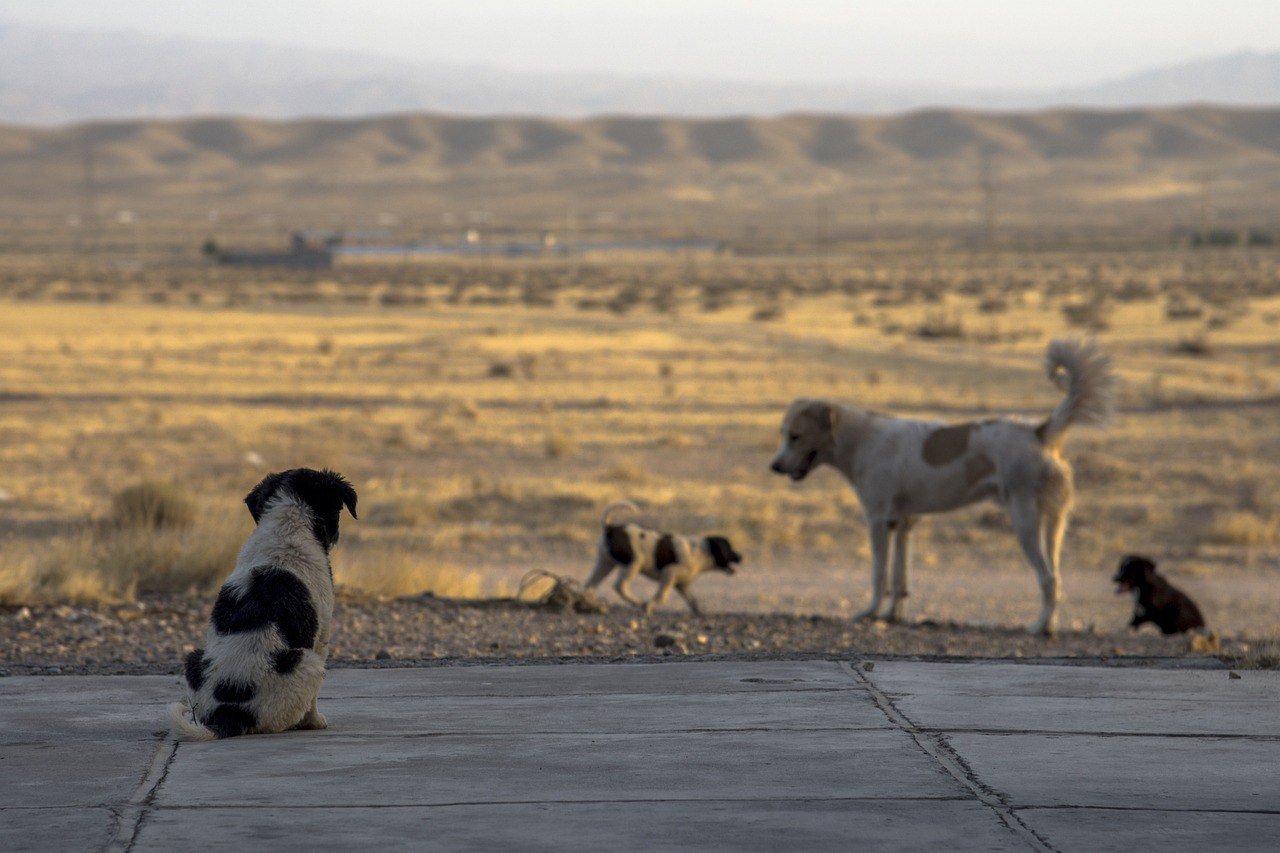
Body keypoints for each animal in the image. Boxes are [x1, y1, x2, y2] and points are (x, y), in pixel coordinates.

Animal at [170, 466, 358, 737]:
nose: (335, 536)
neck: (288, 524)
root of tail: (230, 713)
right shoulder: (322, 635)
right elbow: (313, 702)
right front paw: (316, 721)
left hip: (193, 659)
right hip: (307, 663)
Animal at [586, 499, 747, 612]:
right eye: (729, 549)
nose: (741, 556)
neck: (702, 551)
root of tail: (610, 528)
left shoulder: (682, 585)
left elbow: (693, 600)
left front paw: (699, 613)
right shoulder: (669, 574)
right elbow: (661, 596)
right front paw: (648, 606)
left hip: (605, 564)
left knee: (590, 584)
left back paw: (589, 601)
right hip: (633, 563)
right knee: (620, 586)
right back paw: (636, 602)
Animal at [768, 338, 1111, 630]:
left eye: (795, 436)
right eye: (783, 434)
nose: (774, 466)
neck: (861, 440)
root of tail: (1040, 432)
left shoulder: (878, 521)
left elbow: (879, 574)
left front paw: (870, 613)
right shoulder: (903, 523)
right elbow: (899, 578)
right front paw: (892, 616)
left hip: (1025, 522)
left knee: (1048, 578)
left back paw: (1040, 628)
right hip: (1055, 525)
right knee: (1057, 576)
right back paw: (1049, 624)